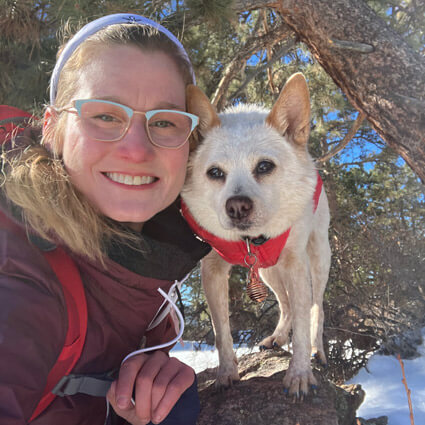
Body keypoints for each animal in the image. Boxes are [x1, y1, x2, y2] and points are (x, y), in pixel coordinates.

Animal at [181, 72, 330, 394]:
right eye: (214, 173)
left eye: (264, 166)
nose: (237, 206)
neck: (252, 240)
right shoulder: (212, 270)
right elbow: (221, 332)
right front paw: (226, 374)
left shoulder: (296, 265)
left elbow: (303, 325)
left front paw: (300, 375)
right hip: (267, 272)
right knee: (285, 306)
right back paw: (277, 337)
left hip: (318, 259)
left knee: (316, 307)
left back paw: (318, 350)